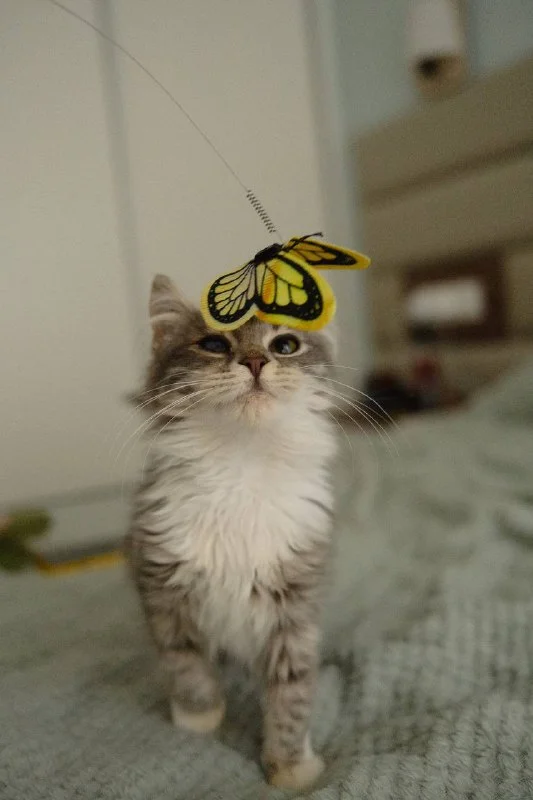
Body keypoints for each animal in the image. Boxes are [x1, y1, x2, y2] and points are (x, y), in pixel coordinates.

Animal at [126, 273, 338, 790]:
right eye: (213, 344)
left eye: (285, 345)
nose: (256, 361)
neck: (242, 461)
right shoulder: (162, 587)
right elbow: (186, 664)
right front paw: (199, 719)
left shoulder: (295, 604)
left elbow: (292, 691)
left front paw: (290, 767)